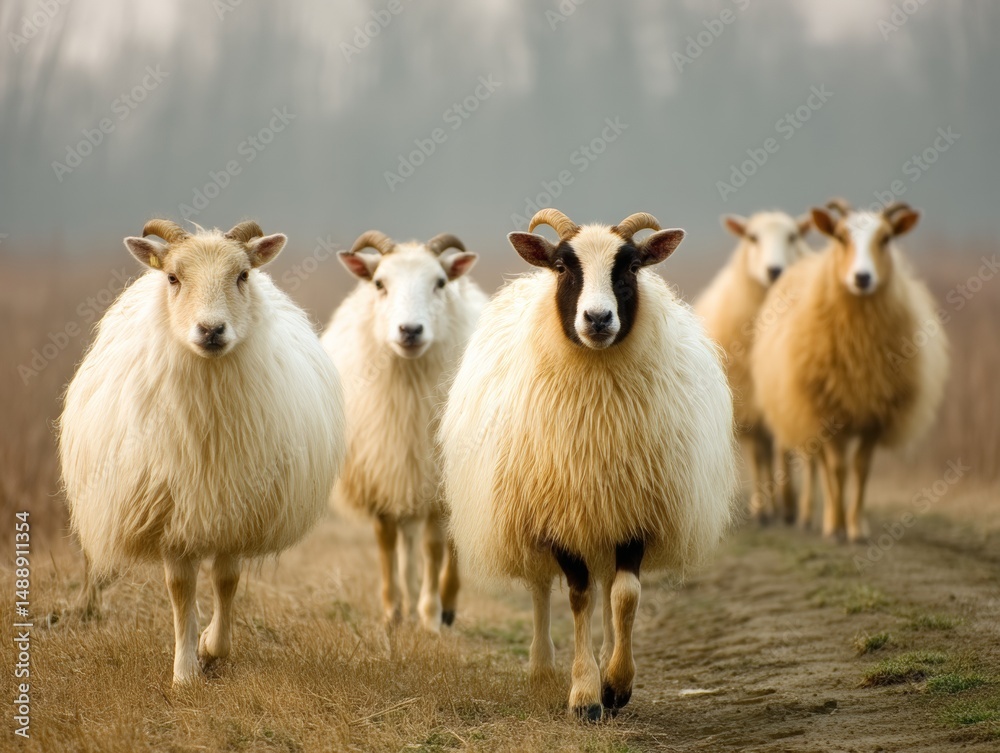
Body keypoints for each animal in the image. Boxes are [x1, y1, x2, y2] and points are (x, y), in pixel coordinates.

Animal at [58, 219, 347, 685]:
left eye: (242, 275)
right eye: (174, 278)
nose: (211, 330)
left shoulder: (236, 509)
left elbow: (226, 581)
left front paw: (212, 647)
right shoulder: (169, 514)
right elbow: (181, 590)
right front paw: (185, 672)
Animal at [322, 230, 486, 631]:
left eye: (440, 283)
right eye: (379, 283)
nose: (410, 330)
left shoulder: (437, 479)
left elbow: (435, 546)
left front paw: (430, 615)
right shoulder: (381, 471)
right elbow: (387, 543)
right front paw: (393, 611)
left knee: (447, 544)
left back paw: (445, 605)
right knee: (407, 540)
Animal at [440, 209, 738, 720]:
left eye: (631, 266)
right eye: (562, 266)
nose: (597, 318)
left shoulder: (634, 512)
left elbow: (624, 595)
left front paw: (616, 684)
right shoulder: (555, 515)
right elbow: (577, 597)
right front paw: (583, 694)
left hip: (601, 516)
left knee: (606, 589)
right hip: (529, 514)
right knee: (541, 588)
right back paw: (542, 670)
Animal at [694, 211, 812, 524]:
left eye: (793, 236)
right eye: (752, 237)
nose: (774, 270)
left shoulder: (783, 394)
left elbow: (784, 451)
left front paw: (789, 505)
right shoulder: (749, 401)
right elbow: (760, 457)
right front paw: (763, 508)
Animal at [751, 200, 949, 541]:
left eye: (886, 239)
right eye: (842, 237)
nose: (862, 277)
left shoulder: (875, 414)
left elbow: (861, 468)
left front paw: (857, 528)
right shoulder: (827, 410)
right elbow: (837, 468)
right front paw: (835, 526)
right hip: (806, 408)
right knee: (821, 463)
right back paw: (813, 516)